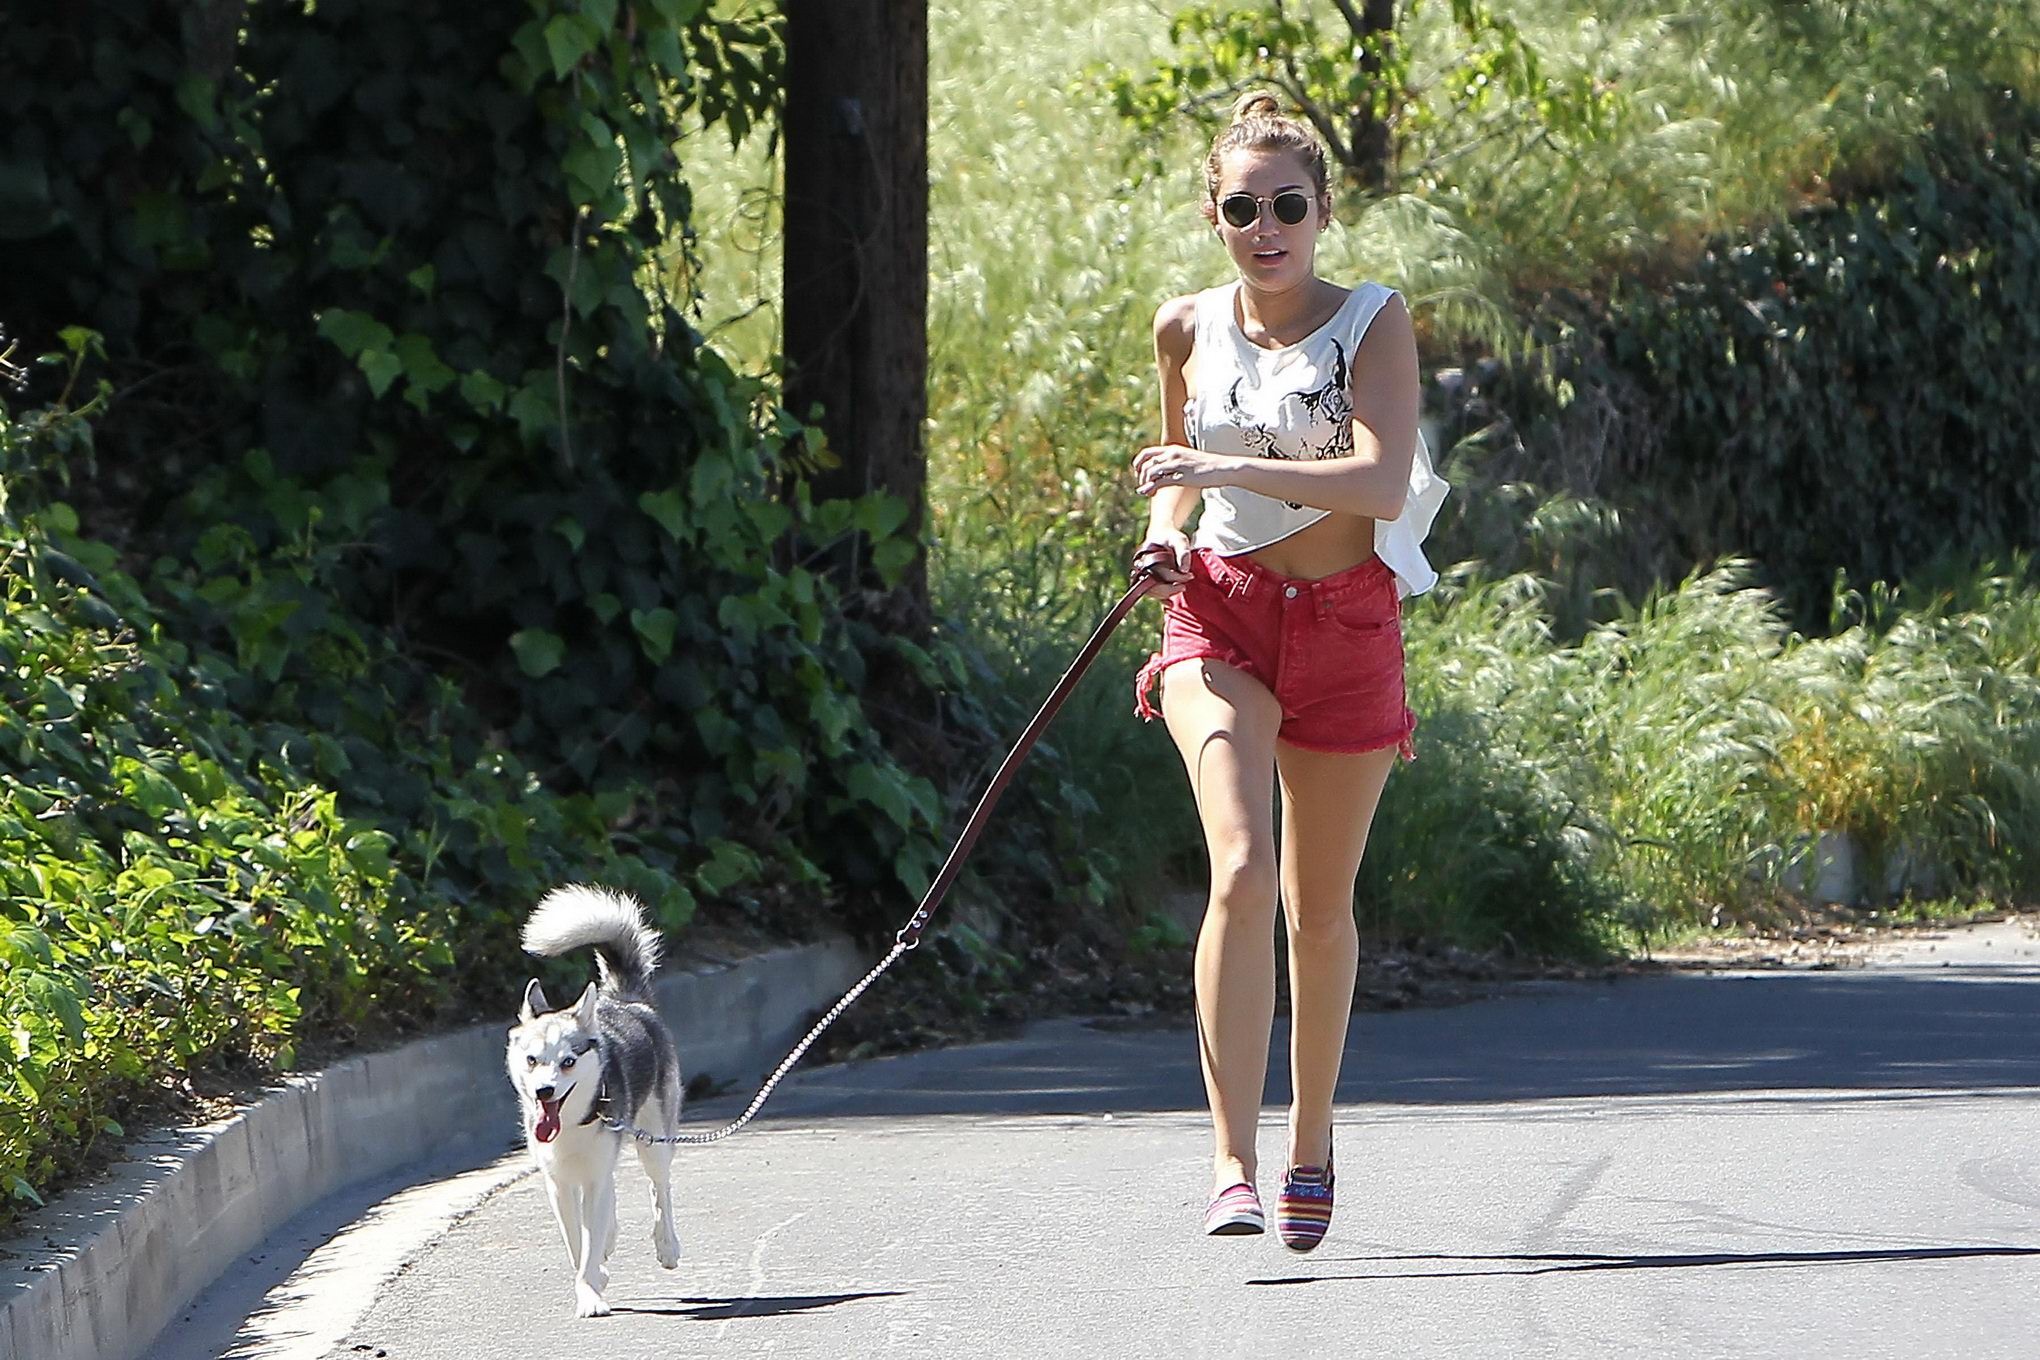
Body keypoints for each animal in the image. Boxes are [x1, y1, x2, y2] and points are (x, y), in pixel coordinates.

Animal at [503, 884, 681, 1321]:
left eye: (568, 1061)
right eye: (532, 1060)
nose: (544, 1092)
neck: (572, 1123)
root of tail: (627, 1000)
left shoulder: (594, 1175)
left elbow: (591, 1235)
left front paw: (591, 1292)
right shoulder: (559, 1184)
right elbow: (577, 1241)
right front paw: (593, 1277)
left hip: (653, 1139)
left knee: (660, 1188)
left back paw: (667, 1245)